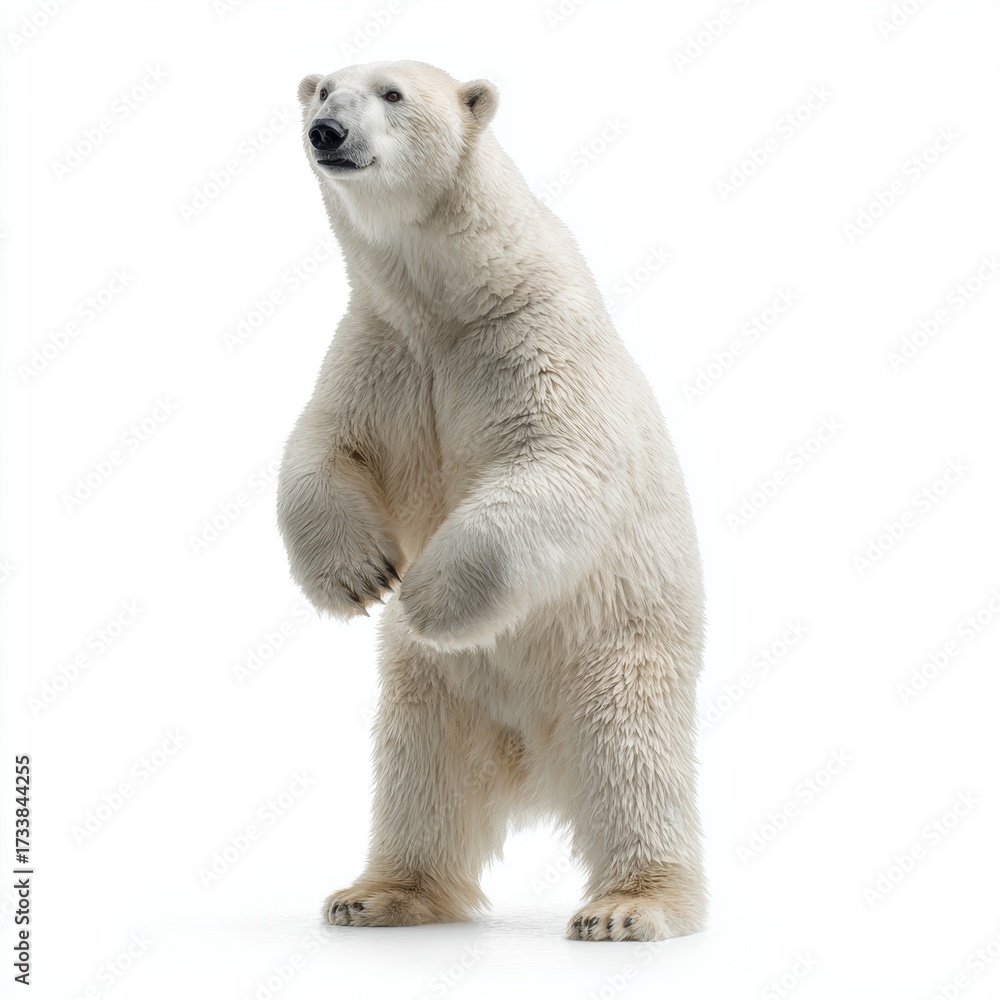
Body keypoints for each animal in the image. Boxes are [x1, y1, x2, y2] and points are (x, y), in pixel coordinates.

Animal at [277, 60, 707, 942]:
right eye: (323, 91)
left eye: (392, 93)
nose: (326, 133)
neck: (449, 300)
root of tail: (532, 763)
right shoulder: (384, 348)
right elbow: (326, 446)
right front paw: (359, 575)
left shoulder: (530, 339)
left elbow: (553, 464)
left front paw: (424, 595)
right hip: (436, 693)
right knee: (419, 780)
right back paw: (375, 893)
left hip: (614, 655)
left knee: (632, 767)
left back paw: (629, 906)